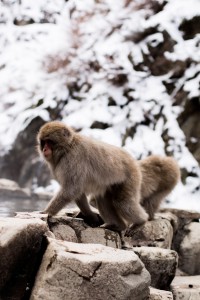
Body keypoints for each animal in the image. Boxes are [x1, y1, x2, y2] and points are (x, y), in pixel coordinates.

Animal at [37, 121, 180, 232]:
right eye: (43, 142)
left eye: (49, 142)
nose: (44, 149)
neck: (68, 147)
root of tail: (134, 161)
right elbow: (78, 192)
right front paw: (90, 215)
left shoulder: (73, 159)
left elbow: (71, 189)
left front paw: (47, 212)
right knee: (102, 199)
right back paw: (118, 225)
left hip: (131, 178)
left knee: (122, 202)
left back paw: (141, 221)